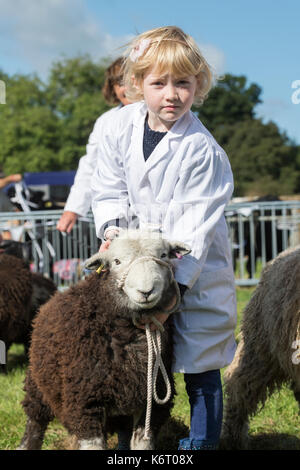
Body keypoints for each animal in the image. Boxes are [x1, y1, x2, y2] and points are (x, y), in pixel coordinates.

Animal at [17, 229, 190, 450]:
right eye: (116, 261)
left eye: (164, 255)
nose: (146, 292)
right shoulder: (86, 401)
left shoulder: (152, 400)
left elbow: (142, 443)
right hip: (38, 385)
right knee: (35, 422)